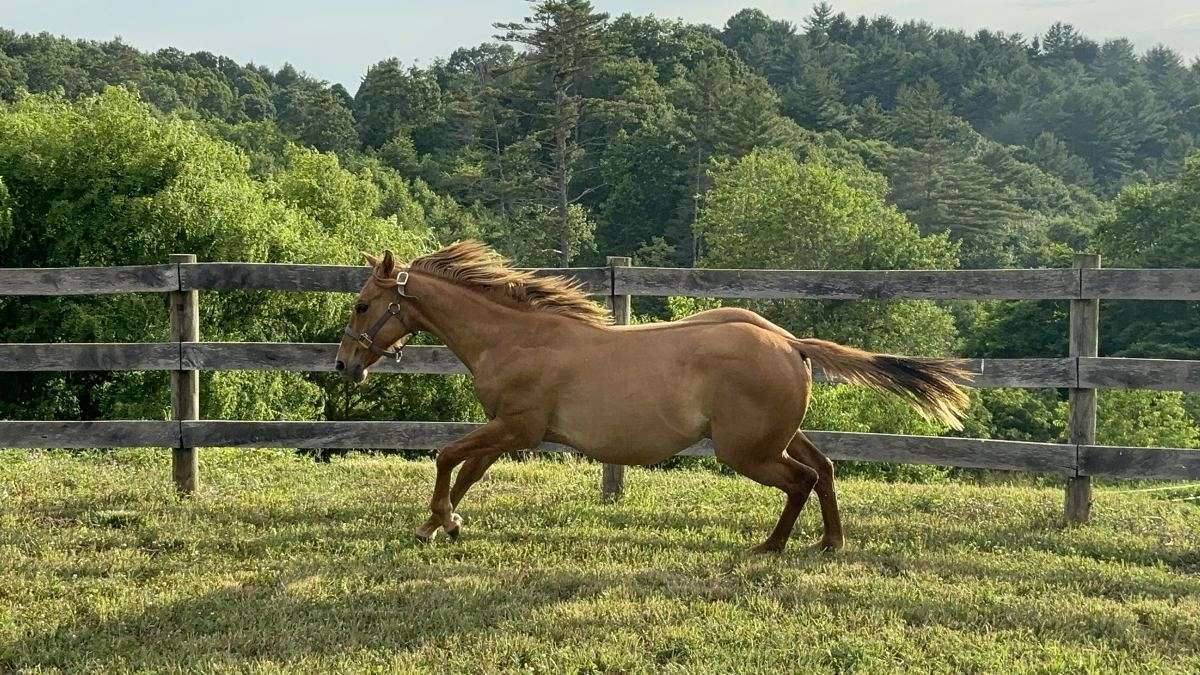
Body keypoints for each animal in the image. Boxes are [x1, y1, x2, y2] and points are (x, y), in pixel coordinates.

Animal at [333, 241, 969, 552]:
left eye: (361, 304)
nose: (344, 365)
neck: (515, 338)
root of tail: (790, 342)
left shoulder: (518, 427)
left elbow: (446, 457)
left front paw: (439, 522)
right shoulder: (508, 430)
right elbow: (467, 472)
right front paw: (442, 525)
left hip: (745, 451)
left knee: (802, 480)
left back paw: (771, 546)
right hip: (776, 435)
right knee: (825, 468)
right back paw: (830, 541)